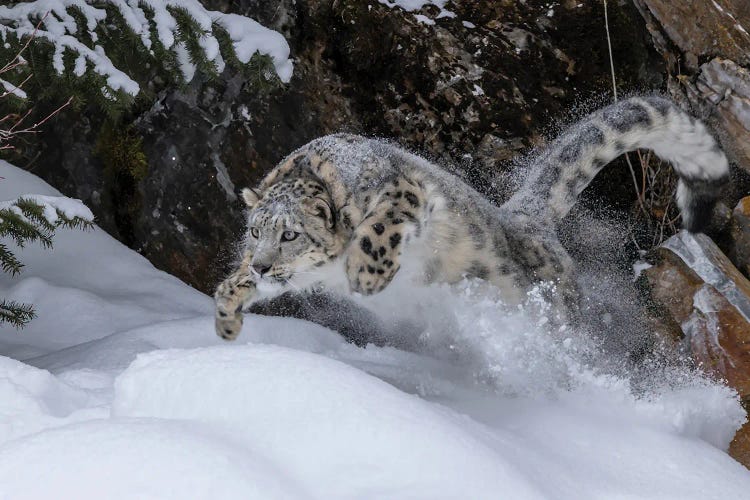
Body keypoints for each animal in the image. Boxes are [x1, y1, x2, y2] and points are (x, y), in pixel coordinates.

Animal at [214, 96, 732, 340]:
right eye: (255, 231)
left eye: (291, 234)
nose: (262, 264)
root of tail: (523, 217)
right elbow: (231, 285)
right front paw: (226, 319)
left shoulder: (403, 190)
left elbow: (379, 227)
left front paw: (366, 276)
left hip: (551, 301)